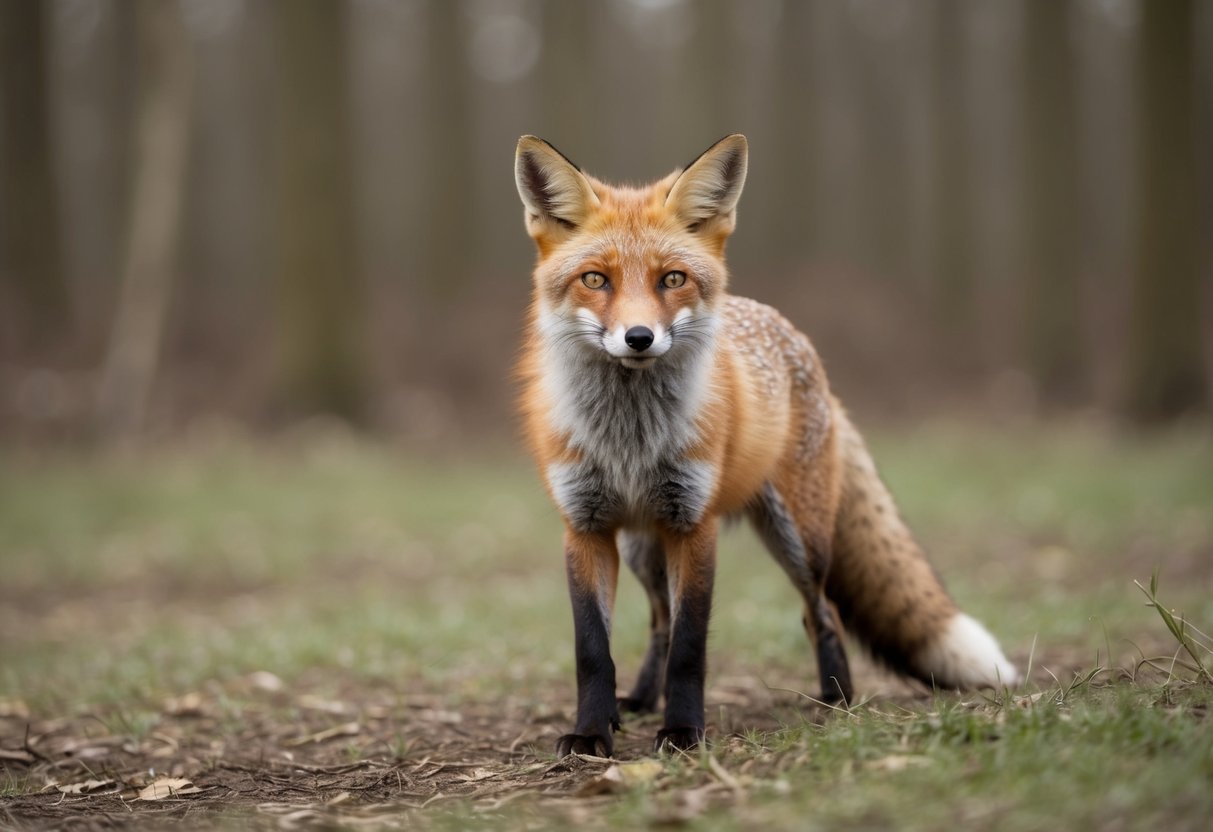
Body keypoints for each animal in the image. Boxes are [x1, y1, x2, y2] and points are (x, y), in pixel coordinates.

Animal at [513, 134, 1018, 756]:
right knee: (658, 622)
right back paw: (639, 701)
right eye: (595, 280)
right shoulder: (585, 527)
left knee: (821, 611)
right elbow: (593, 649)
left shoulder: (693, 525)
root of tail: (802, 344)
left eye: (672, 279)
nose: (639, 338)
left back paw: (837, 700)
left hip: (798, 537)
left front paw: (683, 732)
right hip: (640, 547)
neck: (631, 438)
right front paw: (591, 732)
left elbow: (691, 648)